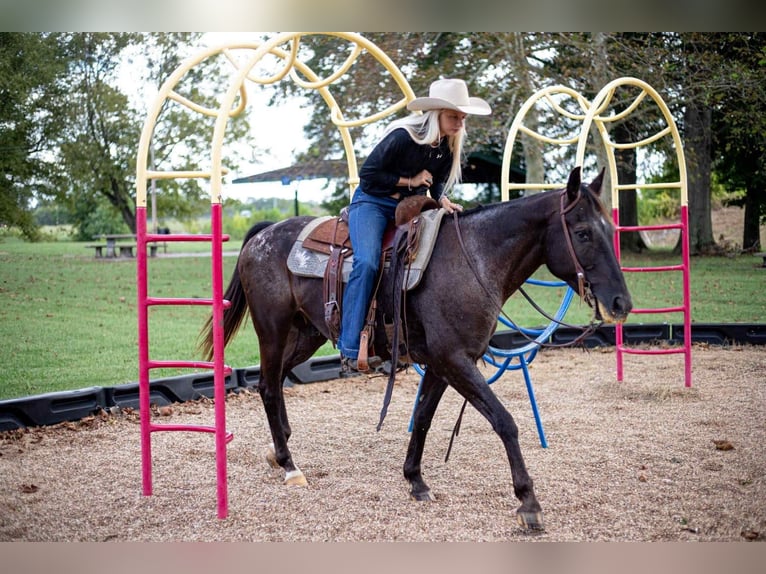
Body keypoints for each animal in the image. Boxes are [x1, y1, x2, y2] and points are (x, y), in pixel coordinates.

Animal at [198, 166, 632, 531]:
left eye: (608, 228)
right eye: (582, 233)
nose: (621, 303)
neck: (473, 259)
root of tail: (263, 235)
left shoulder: (443, 364)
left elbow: (423, 418)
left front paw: (416, 480)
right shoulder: (455, 360)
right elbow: (504, 420)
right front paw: (528, 502)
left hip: (307, 335)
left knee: (271, 383)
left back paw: (280, 449)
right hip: (272, 330)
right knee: (269, 386)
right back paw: (290, 465)